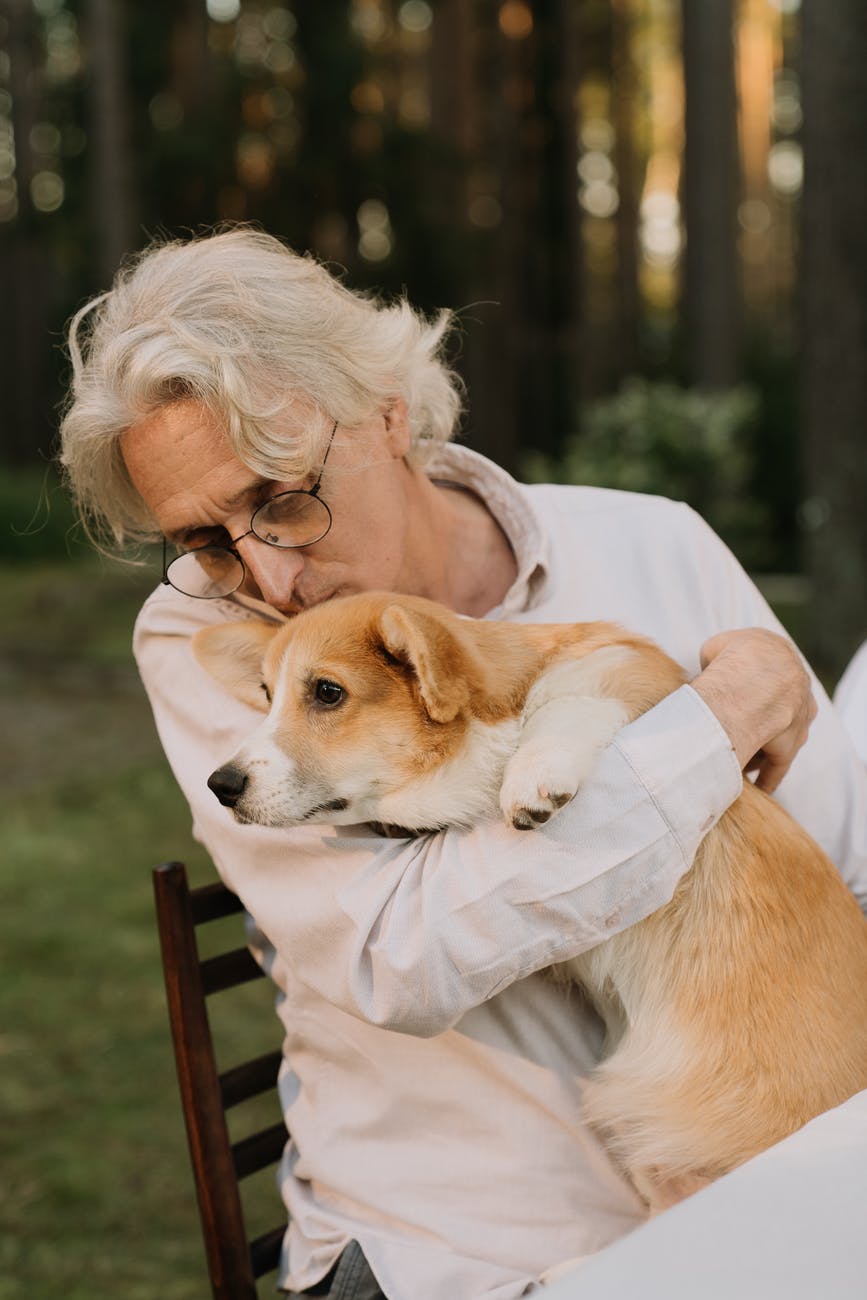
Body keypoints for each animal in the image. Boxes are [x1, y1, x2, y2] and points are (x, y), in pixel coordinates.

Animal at [193, 595, 867, 1211]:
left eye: (328, 693)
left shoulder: (630, 672)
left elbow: (569, 704)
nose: (219, 785)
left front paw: (531, 778)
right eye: (266, 694)